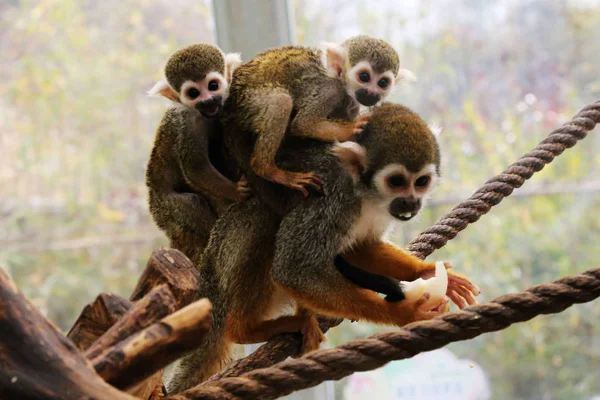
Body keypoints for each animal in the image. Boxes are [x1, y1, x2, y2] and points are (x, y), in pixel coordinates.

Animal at [146, 44, 245, 260]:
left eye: (213, 86)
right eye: (193, 93)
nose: (207, 101)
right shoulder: (190, 122)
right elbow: (195, 167)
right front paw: (238, 192)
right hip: (166, 208)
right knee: (190, 204)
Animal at [164, 103, 478, 394]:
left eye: (421, 181)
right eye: (397, 181)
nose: (411, 203)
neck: (364, 193)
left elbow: (359, 248)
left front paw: (428, 272)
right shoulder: (330, 197)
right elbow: (293, 267)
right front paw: (402, 312)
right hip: (223, 265)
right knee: (262, 218)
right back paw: (244, 328)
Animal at [223, 35, 414, 197]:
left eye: (383, 82)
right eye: (364, 77)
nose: (371, 94)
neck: (344, 87)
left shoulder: (352, 103)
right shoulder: (330, 90)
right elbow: (304, 123)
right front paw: (351, 130)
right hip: (246, 100)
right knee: (281, 101)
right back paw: (267, 168)